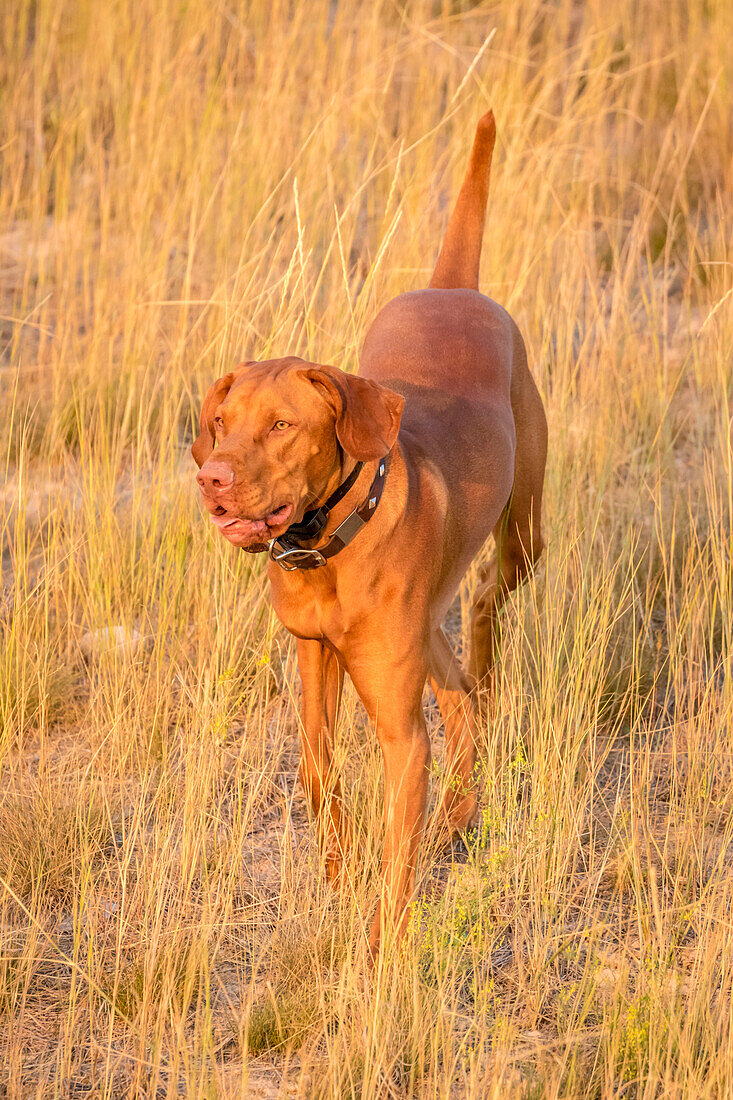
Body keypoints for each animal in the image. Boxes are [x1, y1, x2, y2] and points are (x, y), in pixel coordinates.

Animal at [191, 107, 545, 959]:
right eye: (221, 423)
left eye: (281, 425)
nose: (212, 480)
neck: (328, 545)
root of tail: (452, 287)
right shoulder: (315, 659)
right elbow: (317, 769)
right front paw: (336, 873)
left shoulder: (398, 729)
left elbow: (396, 842)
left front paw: (383, 947)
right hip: (424, 626)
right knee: (460, 697)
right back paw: (459, 810)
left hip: (523, 532)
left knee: (485, 610)